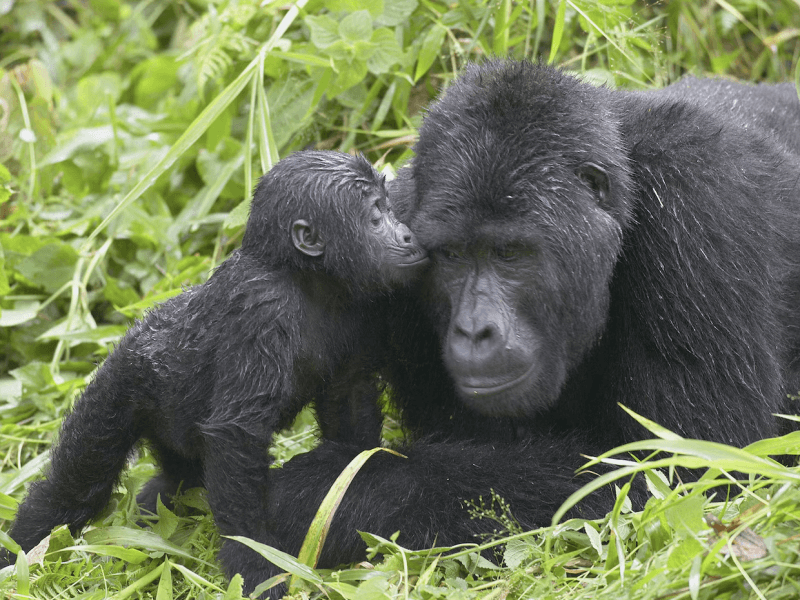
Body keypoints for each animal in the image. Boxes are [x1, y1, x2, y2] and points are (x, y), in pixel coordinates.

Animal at [3, 152, 428, 592]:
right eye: (375, 217)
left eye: (389, 208)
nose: (407, 235)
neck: (303, 276)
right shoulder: (262, 309)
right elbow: (236, 435)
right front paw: (255, 560)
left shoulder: (360, 310)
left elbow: (349, 402)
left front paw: (354, 481)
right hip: (120, 384)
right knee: (76, 484)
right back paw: (22, 552)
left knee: (178, 477)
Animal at [260, 63, 792, 584]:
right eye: (451, 255)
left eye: (509, 253)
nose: (474, 331)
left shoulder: (698, 201)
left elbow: (689, 473)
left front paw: (329, 491)